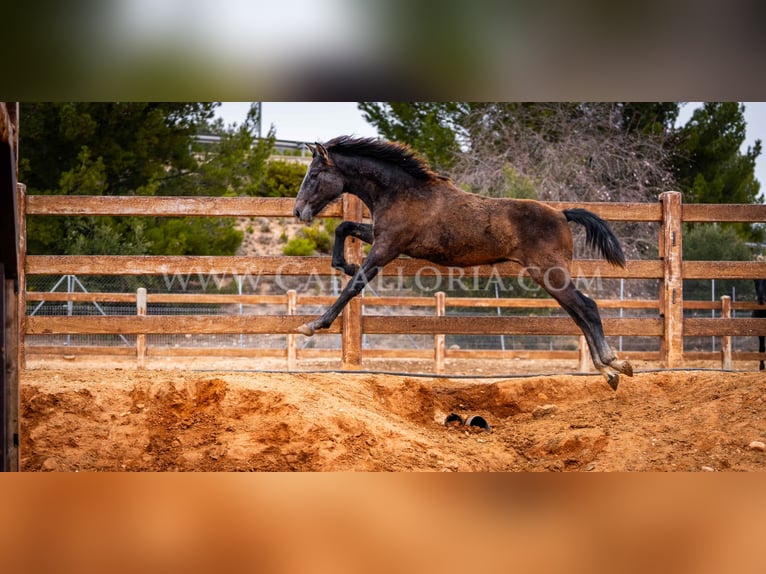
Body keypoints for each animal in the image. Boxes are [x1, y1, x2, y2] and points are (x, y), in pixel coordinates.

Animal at [294, 137, 636, 392]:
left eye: (314, 175)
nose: (298, 212)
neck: (402, 193)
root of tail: (562, 214)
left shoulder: (387, 246)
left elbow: (354, 286)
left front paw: (313, 324)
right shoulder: (383, 238)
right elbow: (344, 228)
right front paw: (344, 265)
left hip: (550, 274)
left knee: (587, 307)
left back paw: (614, 364)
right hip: (550, 278)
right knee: (578, 313)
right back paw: (608, 371)